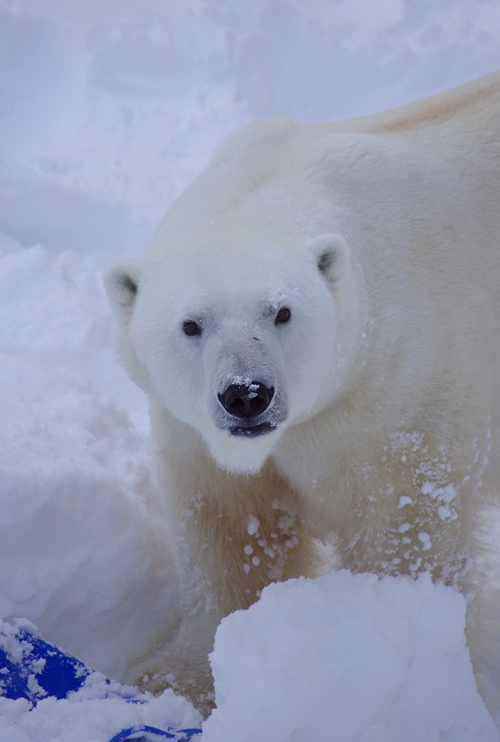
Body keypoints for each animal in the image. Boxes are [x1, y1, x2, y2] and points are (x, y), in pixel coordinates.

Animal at [106, 71, 500, 716]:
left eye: (282, 311)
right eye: (191, 324)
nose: (247, 395)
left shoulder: (401, 391)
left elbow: (403, 530)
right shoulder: (194, 434)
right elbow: (228, 527)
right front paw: (177, 679)